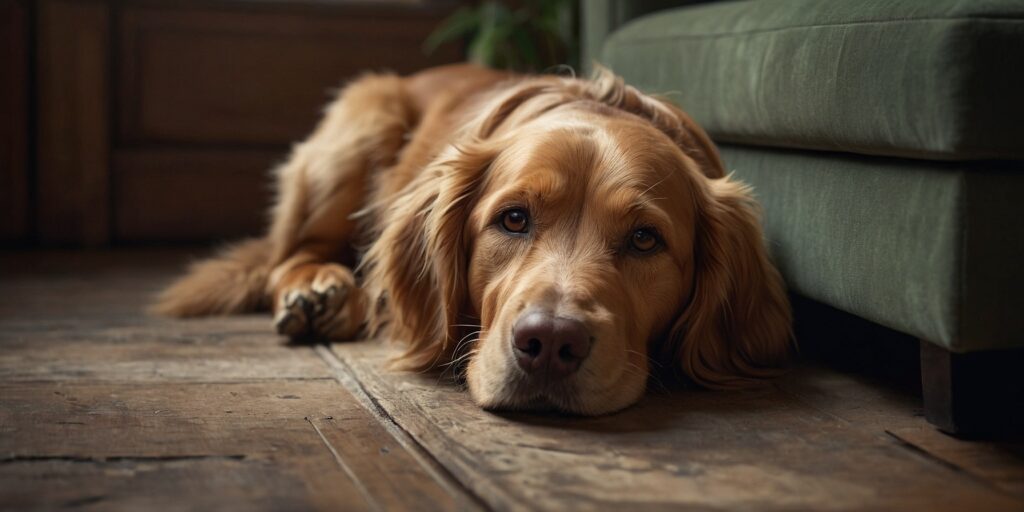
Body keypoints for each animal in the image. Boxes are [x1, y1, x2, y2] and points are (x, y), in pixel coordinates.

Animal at [153, 64, 790, 415]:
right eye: (513, 219)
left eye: (644, 240)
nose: (549, 344)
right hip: (363, 122)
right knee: (291, 255)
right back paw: (319, 292)